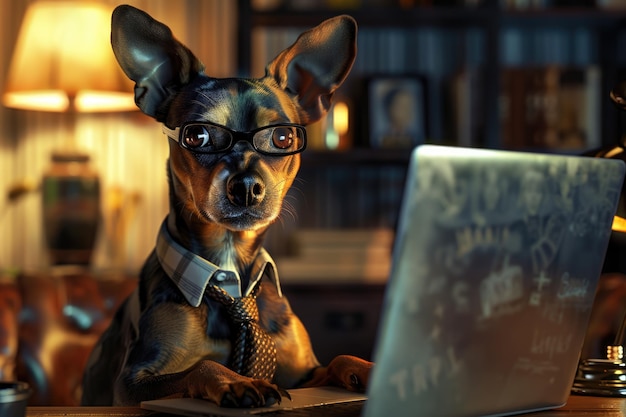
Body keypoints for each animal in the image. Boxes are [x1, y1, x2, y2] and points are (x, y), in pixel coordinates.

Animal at [78, 3, 370, 406]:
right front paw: (238, 381)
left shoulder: (304, 374)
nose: (246, 186)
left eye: (283, 137)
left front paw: (372, 368)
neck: (231, 272)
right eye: (198, 136)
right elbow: (202, 365)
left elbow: (341, 357)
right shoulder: (132, 382)